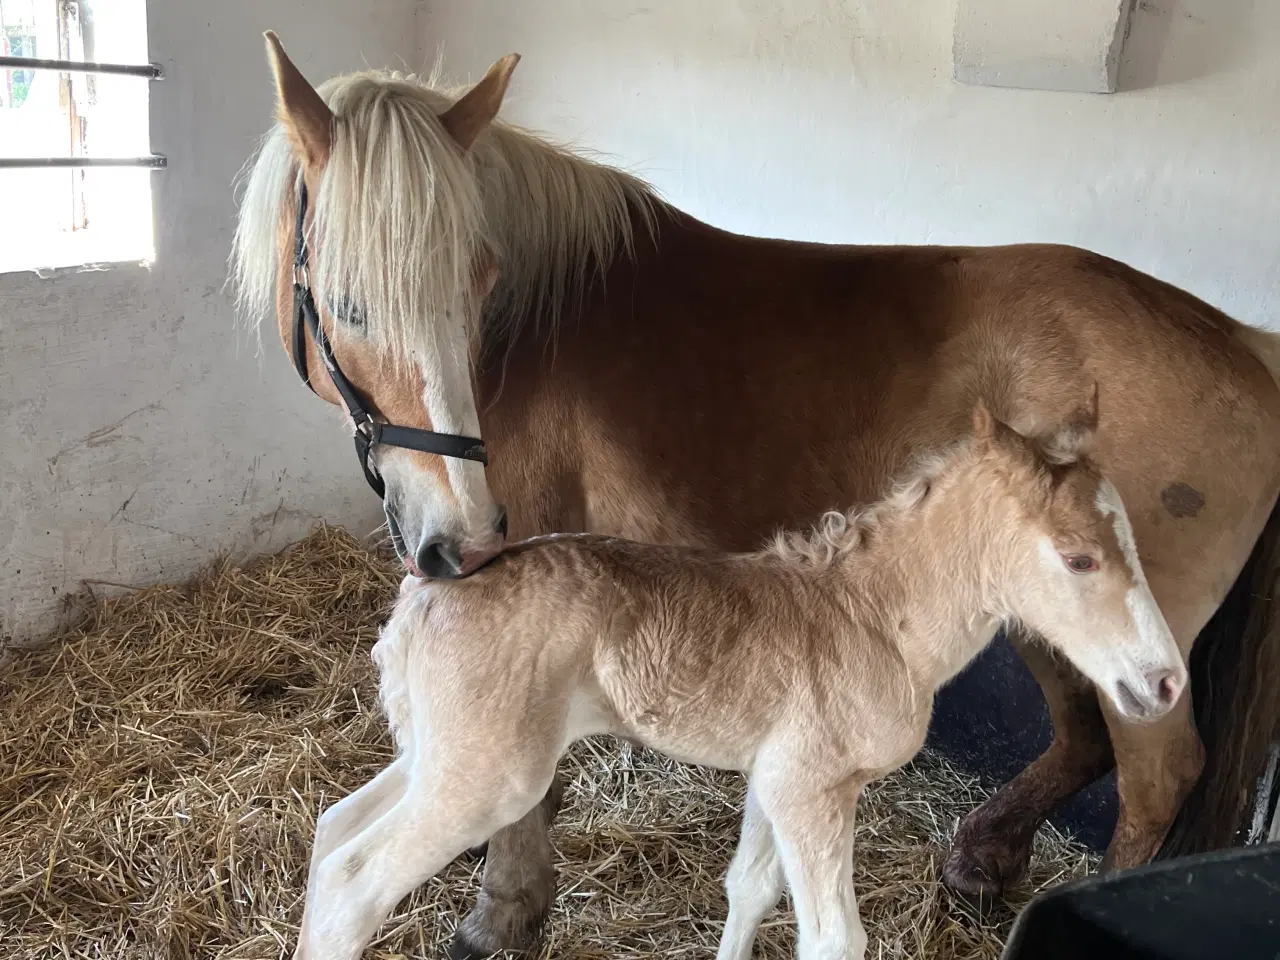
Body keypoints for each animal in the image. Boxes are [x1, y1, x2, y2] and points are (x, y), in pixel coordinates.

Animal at [294, 407, 1182, 960]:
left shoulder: (775, 775)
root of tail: (420, 596)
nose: (1167, 681)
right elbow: (833, 938)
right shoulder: (813, 787)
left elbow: (747, 889)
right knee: (354, 885)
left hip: (439, 754)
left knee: (333, 832)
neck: (876, 618)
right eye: (1079, 558)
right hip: (490, 778)